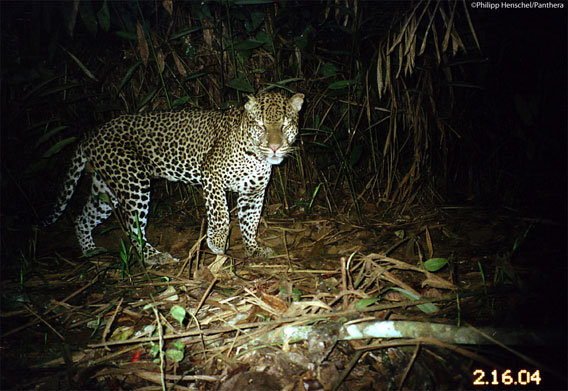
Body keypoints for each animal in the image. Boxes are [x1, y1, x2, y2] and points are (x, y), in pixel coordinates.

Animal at [42, 90, 304, 264]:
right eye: (260, 125)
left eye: (285, 125)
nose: (274, 148)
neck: (257, 157)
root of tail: (93, 133)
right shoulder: (211, 175)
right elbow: (220, 214)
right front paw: (218, 243)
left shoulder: (253, 192)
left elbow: (250, 221)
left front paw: (253, 249)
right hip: (134, 182)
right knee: (133, 227)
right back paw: (154, 256)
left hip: (106, 189)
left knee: (82, 217)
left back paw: (90, 251)